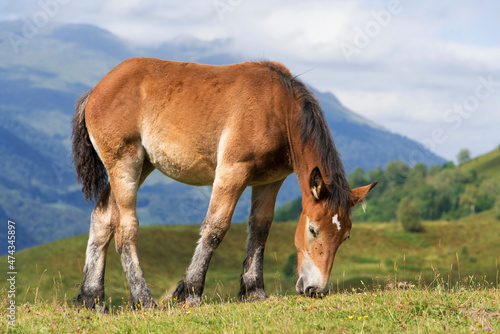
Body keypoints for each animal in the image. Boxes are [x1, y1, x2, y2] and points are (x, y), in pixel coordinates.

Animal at [71, 56, 376, 310]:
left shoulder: (271, 181)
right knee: (125, 228)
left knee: (101, 219)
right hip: (125, 164)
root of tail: (96, 90)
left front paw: (254, 291)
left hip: (140, 165)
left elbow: (260, 229)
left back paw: (91, 297)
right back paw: (143, 299)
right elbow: (215, 228)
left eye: (345, 237)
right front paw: (190, 292)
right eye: (313, 230)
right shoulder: (232, 171)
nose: (315, 289)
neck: (278, 109)